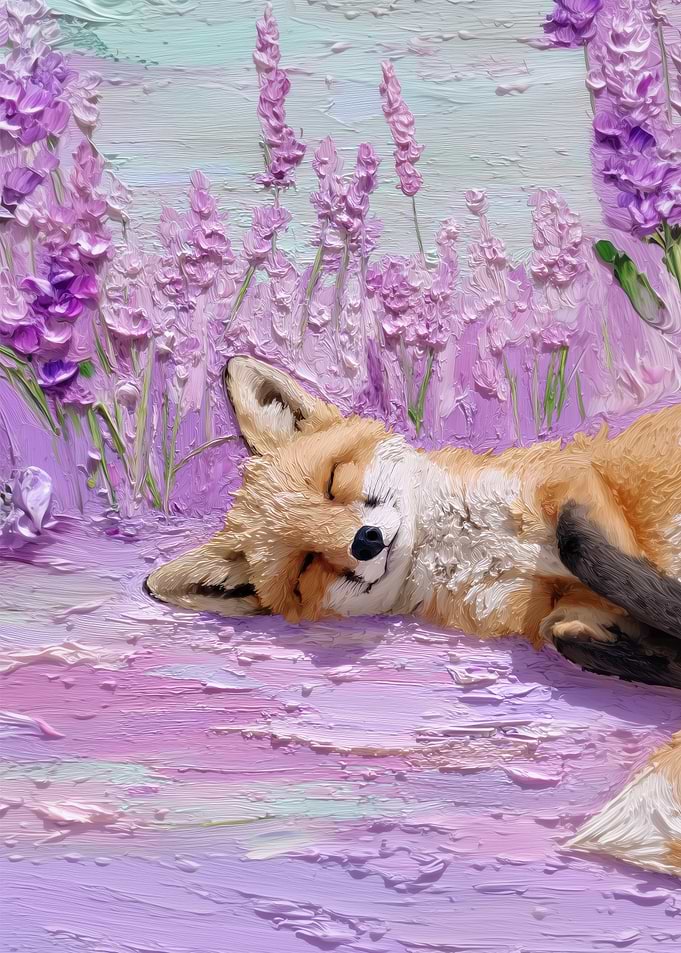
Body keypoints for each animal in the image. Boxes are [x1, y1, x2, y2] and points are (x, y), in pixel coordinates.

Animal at [145, 354, 681, 877]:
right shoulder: (558, 613)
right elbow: (580, 632)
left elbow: (578, 543)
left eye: (332, 481)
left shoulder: (576, 483)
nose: (366, 542)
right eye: (305, 565)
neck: (466, 548)